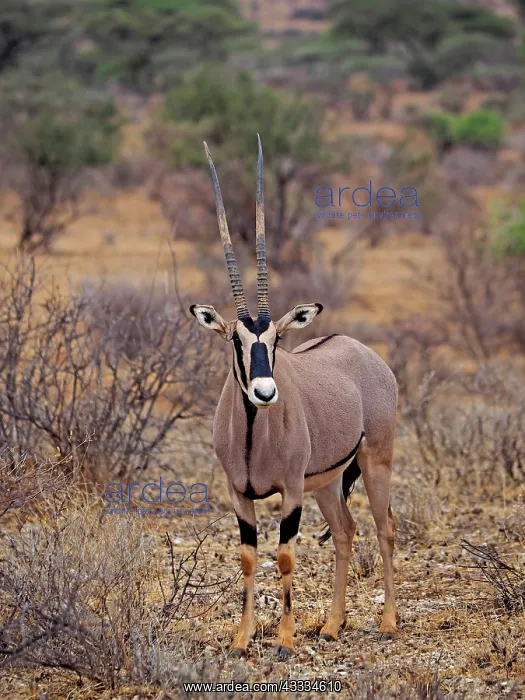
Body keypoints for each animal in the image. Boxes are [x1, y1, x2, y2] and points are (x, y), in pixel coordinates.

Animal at [190, 137, 399, 660]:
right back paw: (332, 625)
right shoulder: (238, 493)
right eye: (236, 339)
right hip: (327, 482)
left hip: (375, 462)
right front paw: (242, 639)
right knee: (346, 532)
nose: (265, 392)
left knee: (384, 527)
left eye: (276, 339)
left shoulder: (290, 490)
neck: (252, 436)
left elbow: (284, 556)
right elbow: (249, 557)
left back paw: (388, 622)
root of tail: (366, 354)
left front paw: (283, 639)